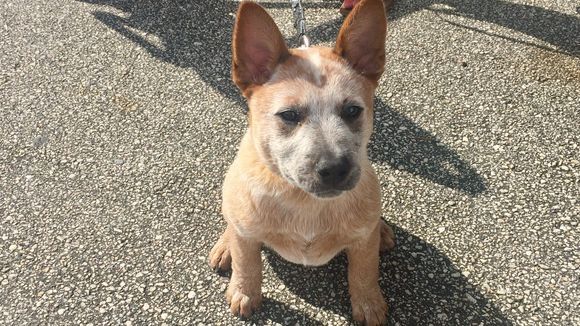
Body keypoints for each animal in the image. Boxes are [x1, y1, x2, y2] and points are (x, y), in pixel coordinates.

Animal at [208, 0, 394, 324]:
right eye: (289, 115)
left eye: (353, 110)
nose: (335, 169)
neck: (304, 202)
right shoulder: (246, 233)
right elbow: (247, 261)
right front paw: (244, 291)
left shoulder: (361, 244)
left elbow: (363, 272)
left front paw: (369, 303)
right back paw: (225, 246)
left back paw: (381, 230)